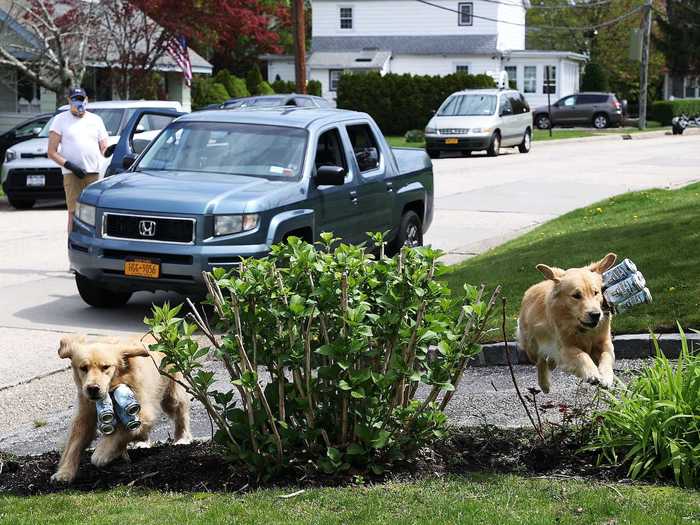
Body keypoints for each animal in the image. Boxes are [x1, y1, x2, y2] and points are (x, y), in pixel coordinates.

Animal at [51, 336, 191, 484]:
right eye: (83, 368)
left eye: (105, 367)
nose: (93, 388)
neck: (114, 385)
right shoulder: (85, 412)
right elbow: (74, 443)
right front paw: (64, 472)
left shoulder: (141, 410)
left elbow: (121, 431)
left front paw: (101, 453)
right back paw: (142, 442)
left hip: (172, 392)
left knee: (180, 412)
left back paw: (182, 438)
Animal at [516, 253, 616, 392]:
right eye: (576, 295)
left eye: (596, 293)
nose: (596, 315)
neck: (581, 328)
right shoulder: (565, 348)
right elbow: (581, 355)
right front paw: (591, 373)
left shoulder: (604, 342)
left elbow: (606, 356)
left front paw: (606, 376)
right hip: (531, 347)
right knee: (540, 360)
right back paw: (544, 384)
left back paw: (551, 364)